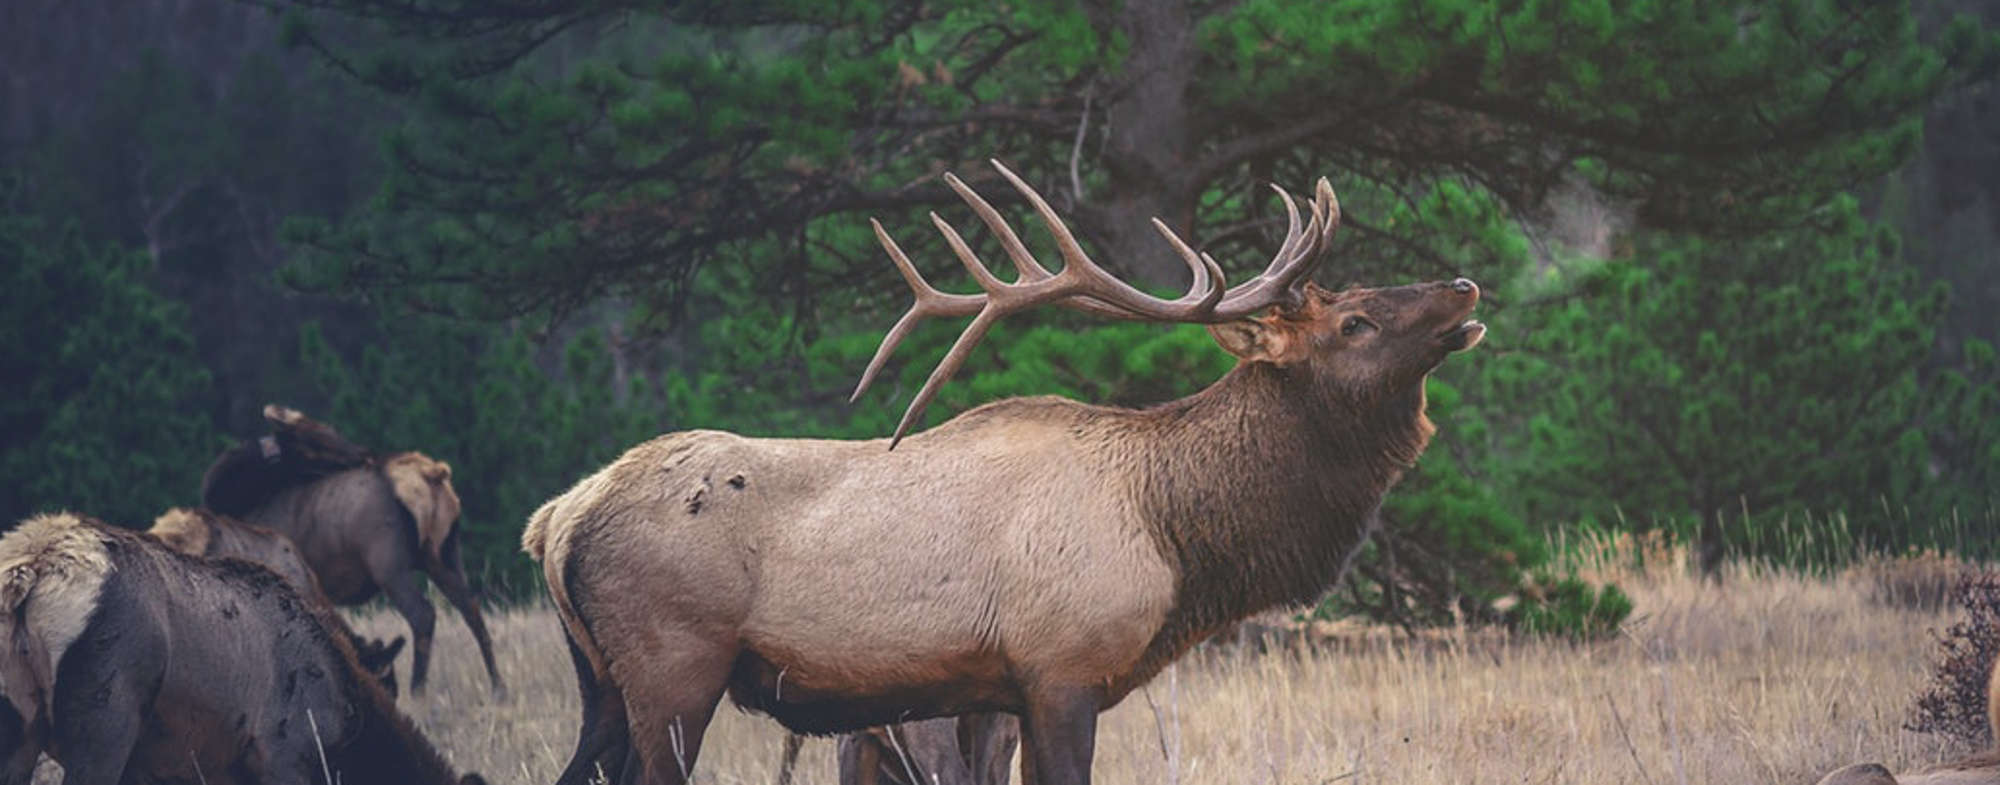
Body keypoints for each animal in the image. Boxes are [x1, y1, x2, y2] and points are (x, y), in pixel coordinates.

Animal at [207, 408, 504, 696]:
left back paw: (418, 691)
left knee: (423, 614)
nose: (365, 454)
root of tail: (434, 476)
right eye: (313, 443)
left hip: (388, 563)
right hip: (445, 554)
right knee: (471, 609)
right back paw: (498, 688)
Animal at [524, 161, 1496, 785]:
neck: (1175, 536)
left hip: (601, 681)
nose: (1464, 285)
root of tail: (557, 520)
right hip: (674, 665)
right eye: (1356, 322)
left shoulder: (1003, 691)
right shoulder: (1062, 667)